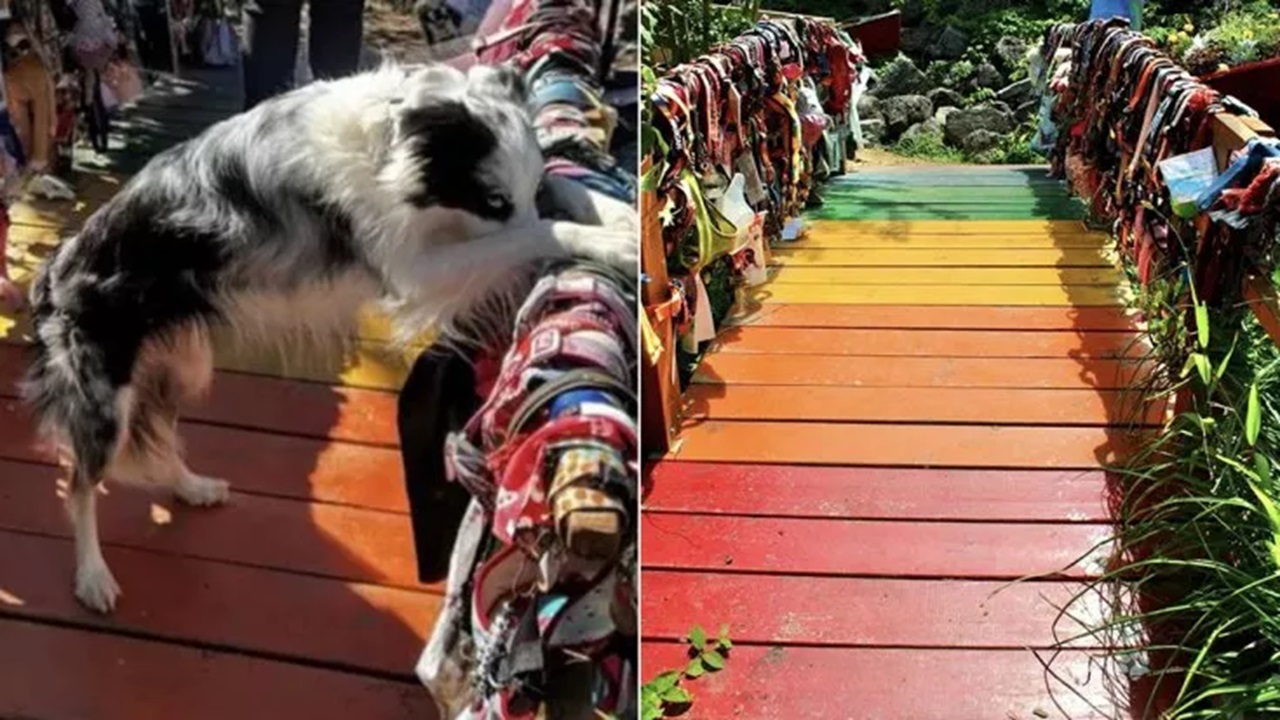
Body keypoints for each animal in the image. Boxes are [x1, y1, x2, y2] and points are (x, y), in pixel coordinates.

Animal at [22, 63, 637, 609]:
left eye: (527, 188)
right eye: (492, 203)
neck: (397, 143)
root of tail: (55, 269)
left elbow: (562, 193)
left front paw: (620, 213)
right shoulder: (413, 270)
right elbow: (537, 231)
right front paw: (611, 242)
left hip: (181, 365)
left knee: (159, 436)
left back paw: (191, 487)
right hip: (106, 398)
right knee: (80, 483)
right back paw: (93, 576)